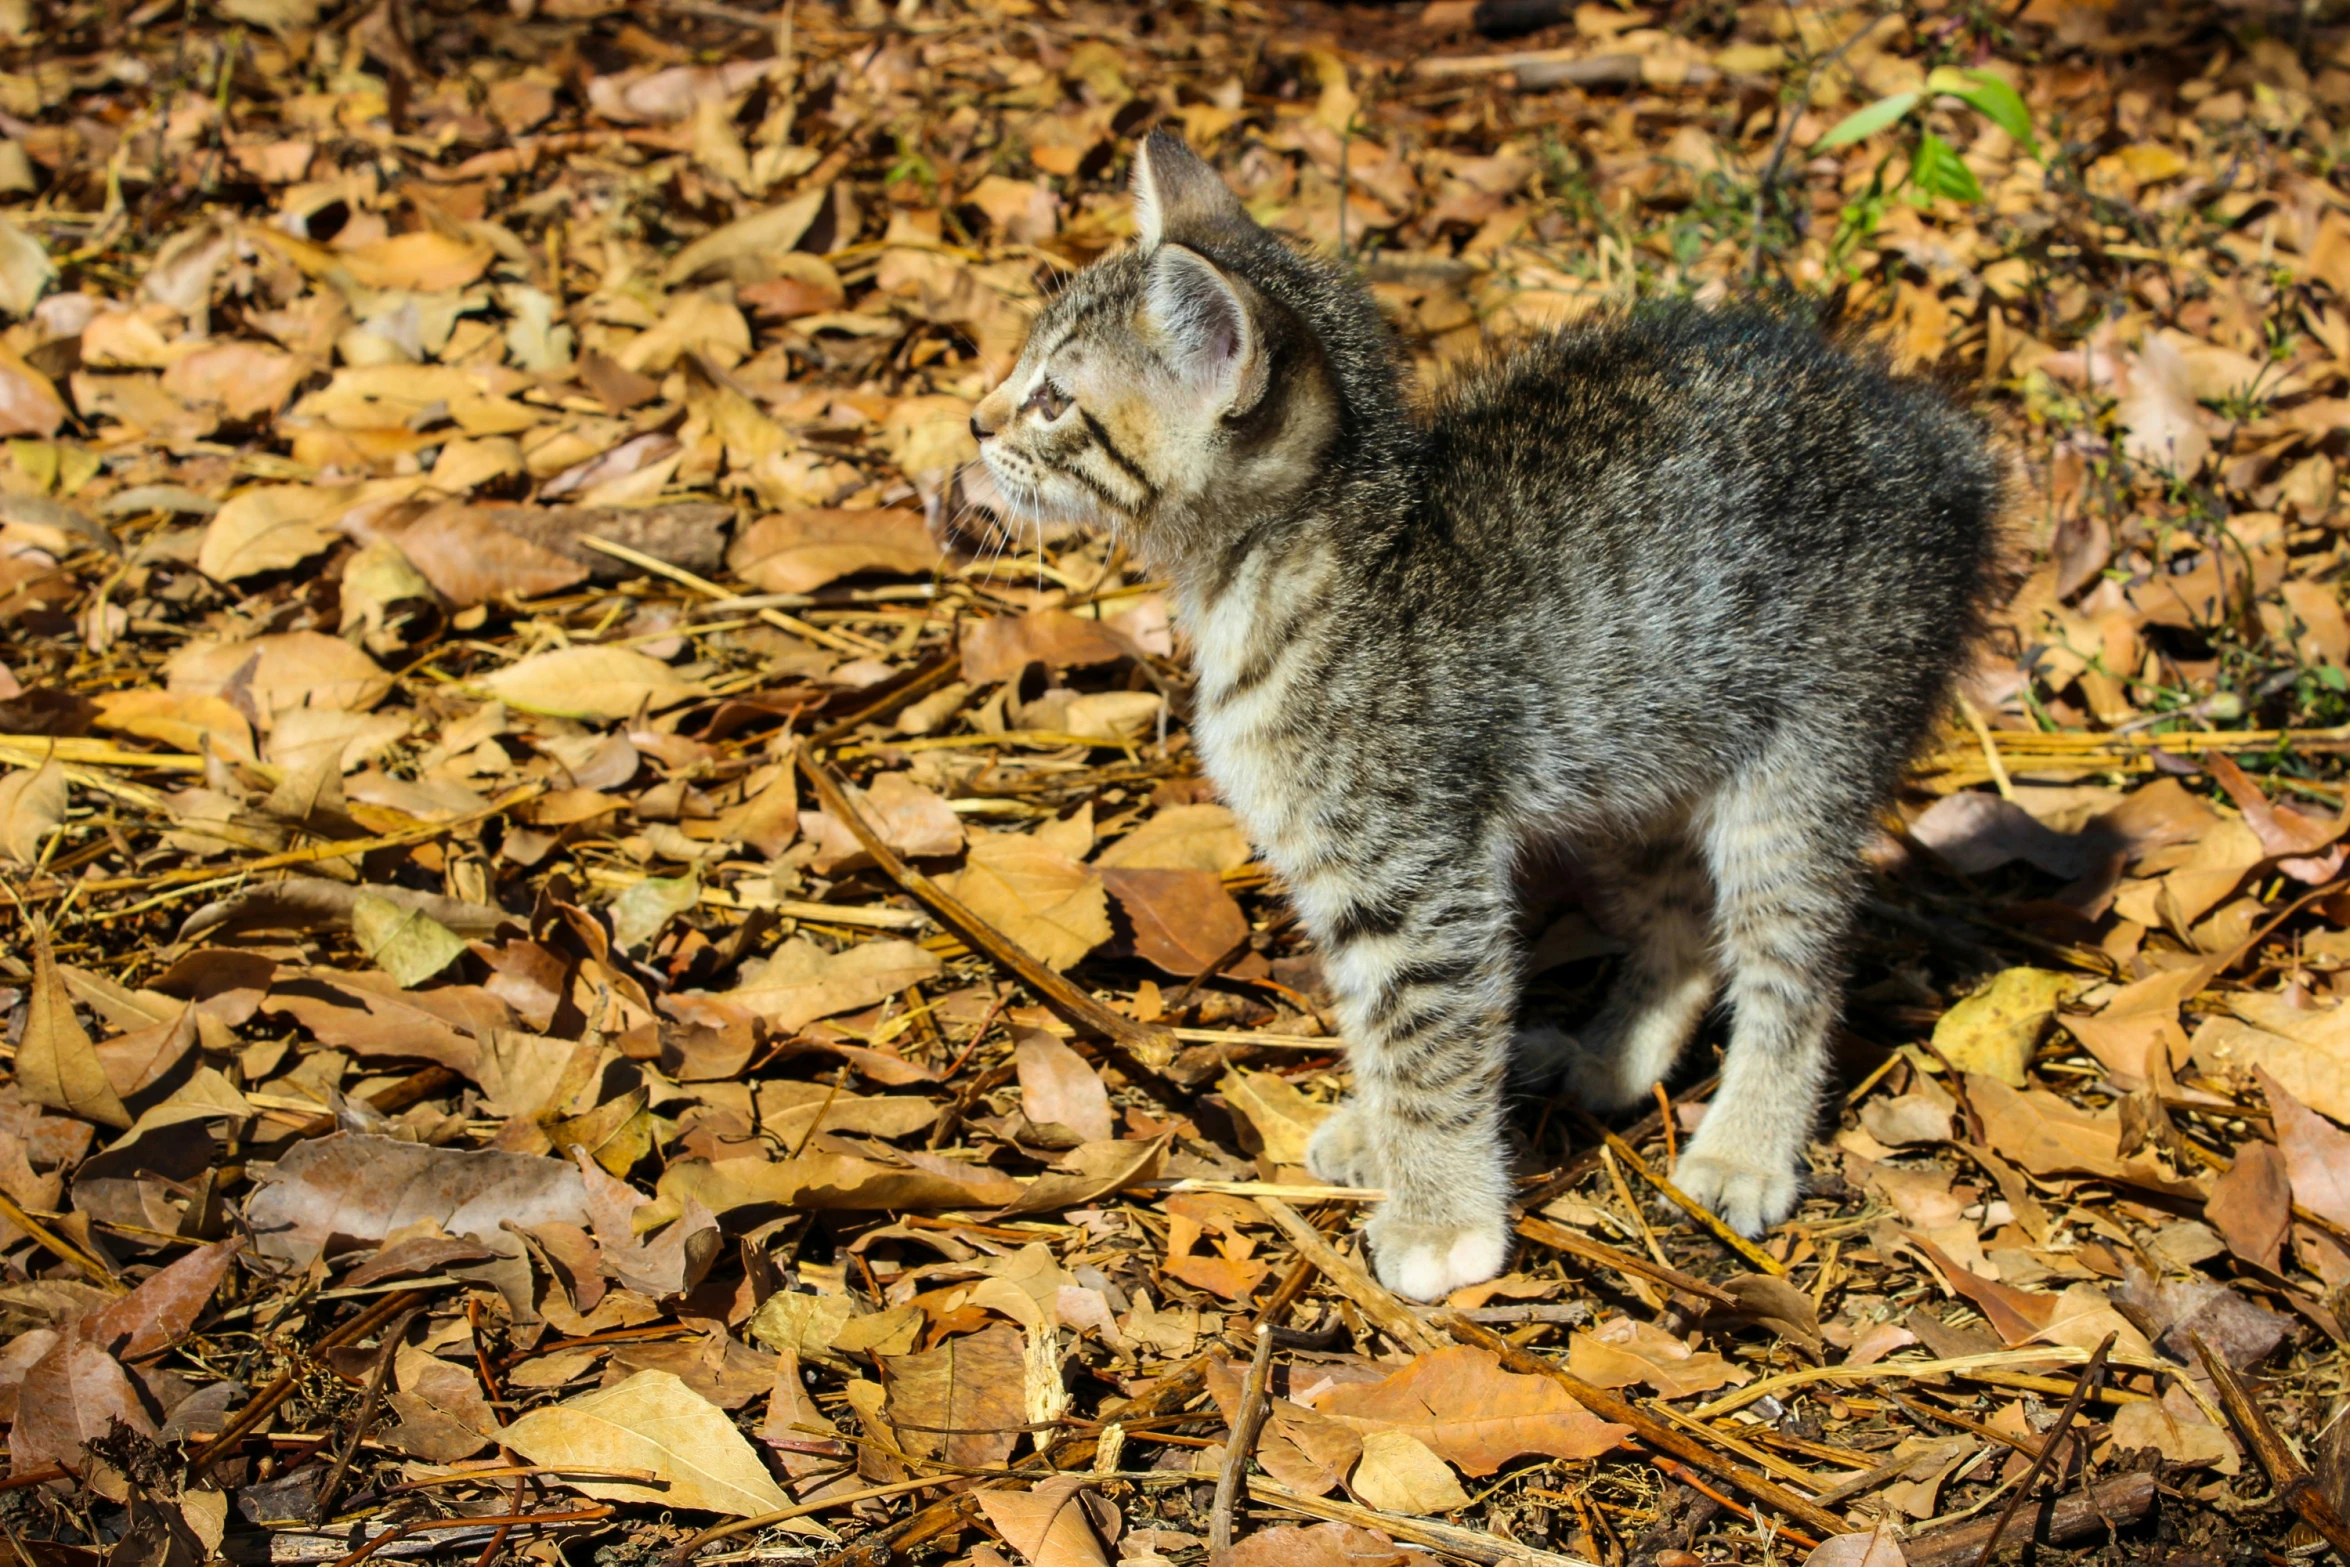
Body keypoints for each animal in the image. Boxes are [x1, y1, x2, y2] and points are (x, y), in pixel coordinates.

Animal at [972, 131, 2002, 1296]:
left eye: (1053, 399)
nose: (975, 420)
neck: (1312, 560)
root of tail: (1942, 447)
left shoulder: (1415, 874)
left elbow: (1426, 1037)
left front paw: (1439, 1217)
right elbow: (1378, 1027)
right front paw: (1381, 1137)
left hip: (1806, 761)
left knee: (1797, 967)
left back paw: (1745, 1145)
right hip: (1630, 758)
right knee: (1681, 921)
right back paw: (1613, 1055)